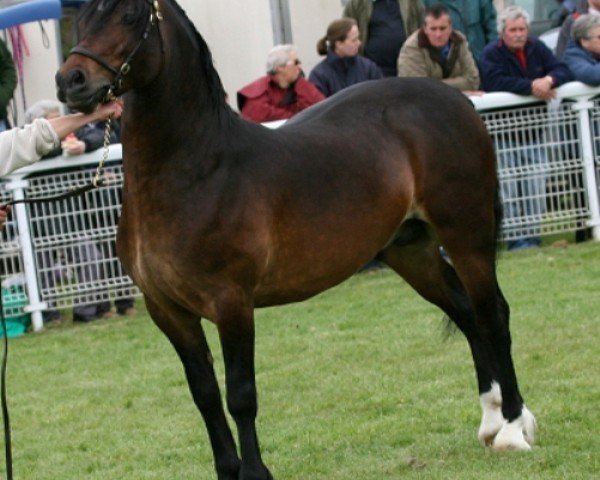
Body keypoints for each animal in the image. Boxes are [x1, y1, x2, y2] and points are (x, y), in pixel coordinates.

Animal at [55, 1, 536, 478]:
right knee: (466, 315)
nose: (70, 80)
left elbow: (240, 395)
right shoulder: (167, 310)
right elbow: (205, 395)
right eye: (81, 16)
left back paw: (513, 427)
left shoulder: (231, 302)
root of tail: (459, 100)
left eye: (131, 15)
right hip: (411, 251)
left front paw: (254, 473)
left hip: (466, 236)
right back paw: (491, 421)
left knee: (493, 315)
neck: (198, 168)